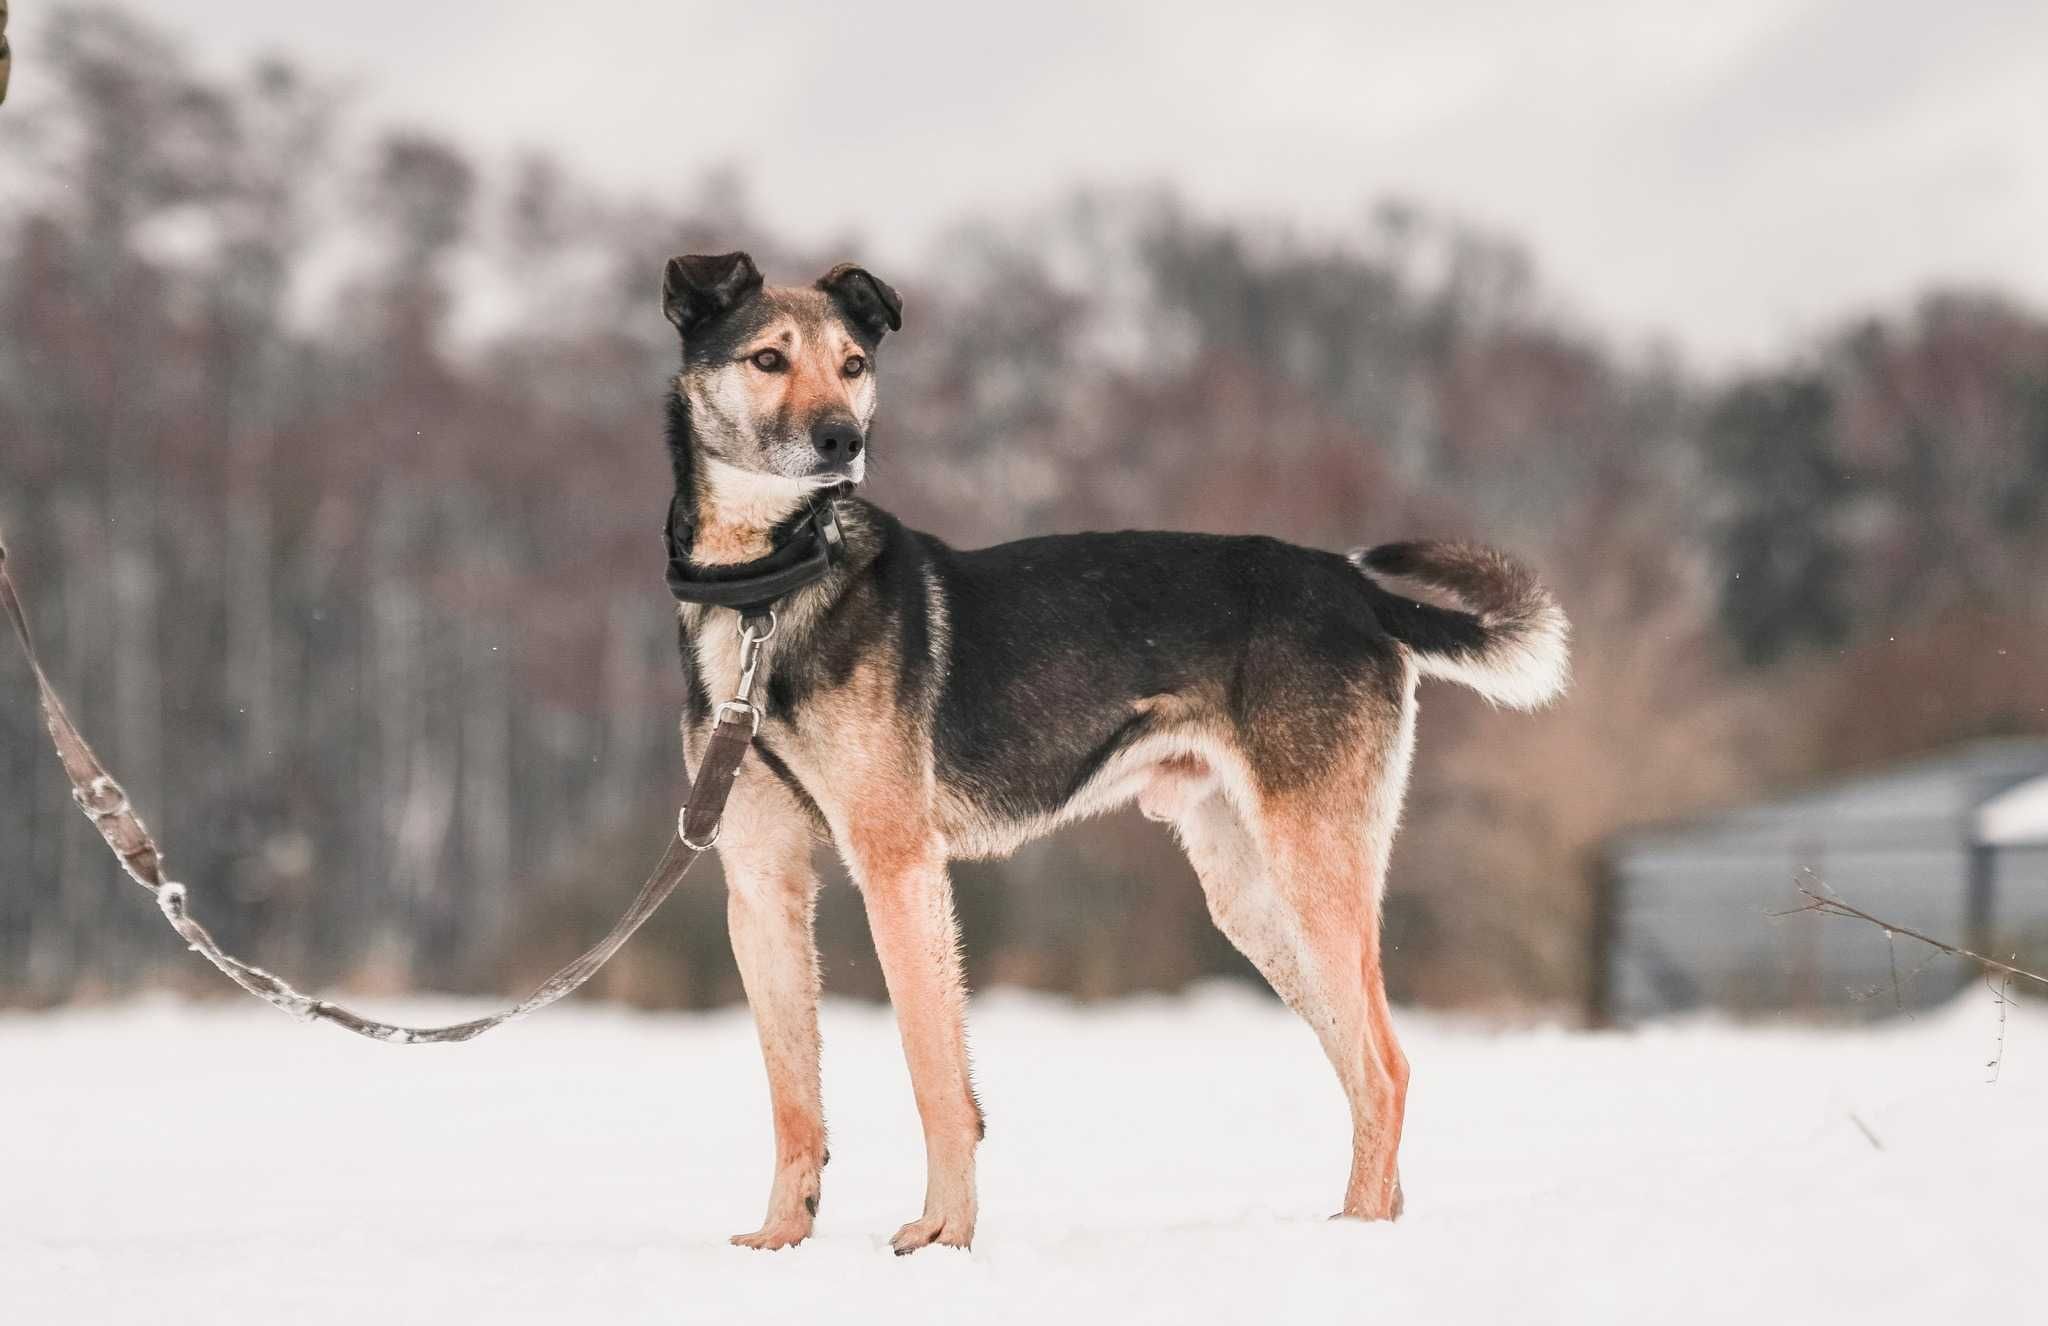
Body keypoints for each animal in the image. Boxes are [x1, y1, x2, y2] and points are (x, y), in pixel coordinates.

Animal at [659, 249, 1564, 1254]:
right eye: (769, 359)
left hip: (1313, 867)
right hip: (1254, 897)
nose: (841, 442)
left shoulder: (897, 865)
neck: (766, 593)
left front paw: (944, 1236)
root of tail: (1354, 588)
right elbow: (791, 1092)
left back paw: (1355, 1237)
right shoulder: (760, 881)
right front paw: (782, 1239)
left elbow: (935, 1073)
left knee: (1387, 1068)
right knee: (1362, 1064)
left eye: (854, 364)